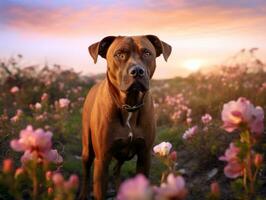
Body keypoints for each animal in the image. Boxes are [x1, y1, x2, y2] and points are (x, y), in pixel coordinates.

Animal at [79, 35, 171, 199]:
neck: (129, 105)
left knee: (116, 169)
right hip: (87, 149)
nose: (137, 71)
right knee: (86, 172)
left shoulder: (144, 156)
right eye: (119, 54)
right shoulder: (102, 160)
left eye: (147, 53)